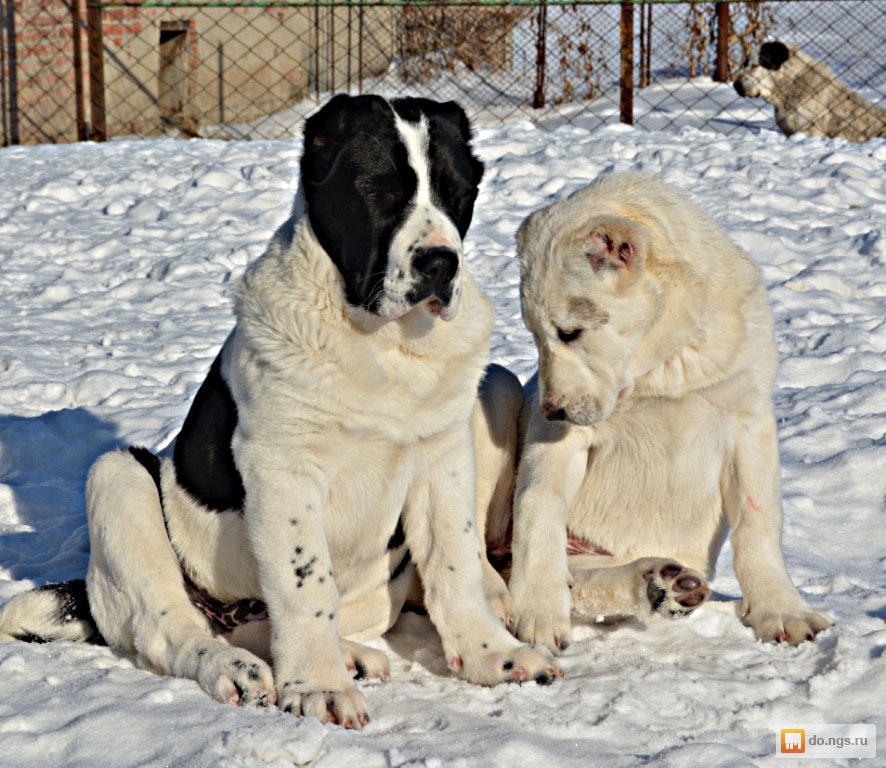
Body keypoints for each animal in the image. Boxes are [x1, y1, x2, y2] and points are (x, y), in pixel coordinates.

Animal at [0, 94, 560, 728]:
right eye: (377, 191)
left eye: (457, 192)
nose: (441, 263)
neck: (382, 342)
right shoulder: (282, 465)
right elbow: (305, 580)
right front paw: (319, 686)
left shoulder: (443, 455)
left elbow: (455, 561)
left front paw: (495, 656)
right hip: (120, 478)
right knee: (171, 628)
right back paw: (236, 670)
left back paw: (349, 655)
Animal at [492, 172, 840, 656]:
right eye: (535, 335)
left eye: (570, 332)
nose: (554, 409)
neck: (661, 365)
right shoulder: (558, 438)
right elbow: (538, 504)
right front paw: (537, 610)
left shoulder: (748, 418)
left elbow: (759, 518)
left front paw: (782, 609)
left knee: (584, 580)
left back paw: (662, 586)